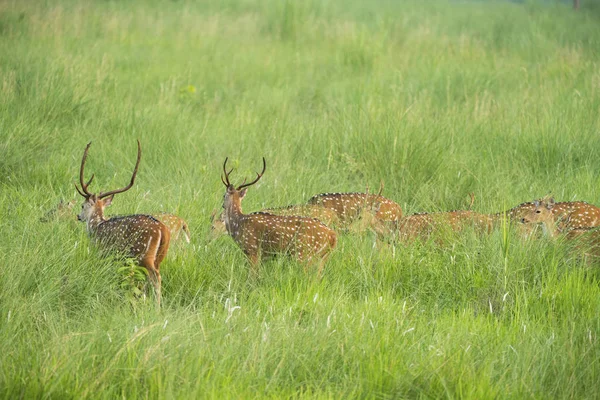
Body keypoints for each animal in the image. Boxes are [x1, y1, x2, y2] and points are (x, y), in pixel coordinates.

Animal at [74, 141, 170, 306]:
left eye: (82, 205)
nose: (79, 217)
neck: (96, 226)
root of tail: (162, 229)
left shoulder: (103, 252)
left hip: (143, 254)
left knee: (155, 278)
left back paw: (156, 307)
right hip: (159, 256)